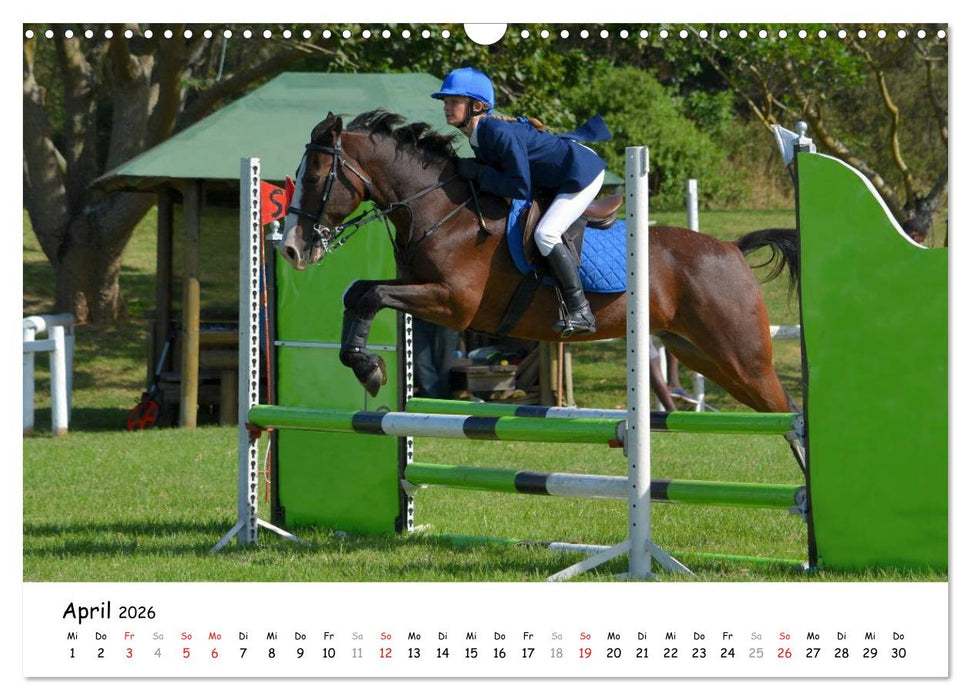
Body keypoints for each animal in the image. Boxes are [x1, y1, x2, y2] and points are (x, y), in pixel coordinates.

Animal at [280, 110, 801, 413]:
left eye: (318, 178)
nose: (292, 249)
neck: (441, 209)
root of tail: (731, 248)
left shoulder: (453, 305)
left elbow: (371, 295)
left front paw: (369, 369)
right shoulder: (419, 288)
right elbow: (359, 292)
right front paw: (366, 367)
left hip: (742, 357)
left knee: (789, 412)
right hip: (701, 353)